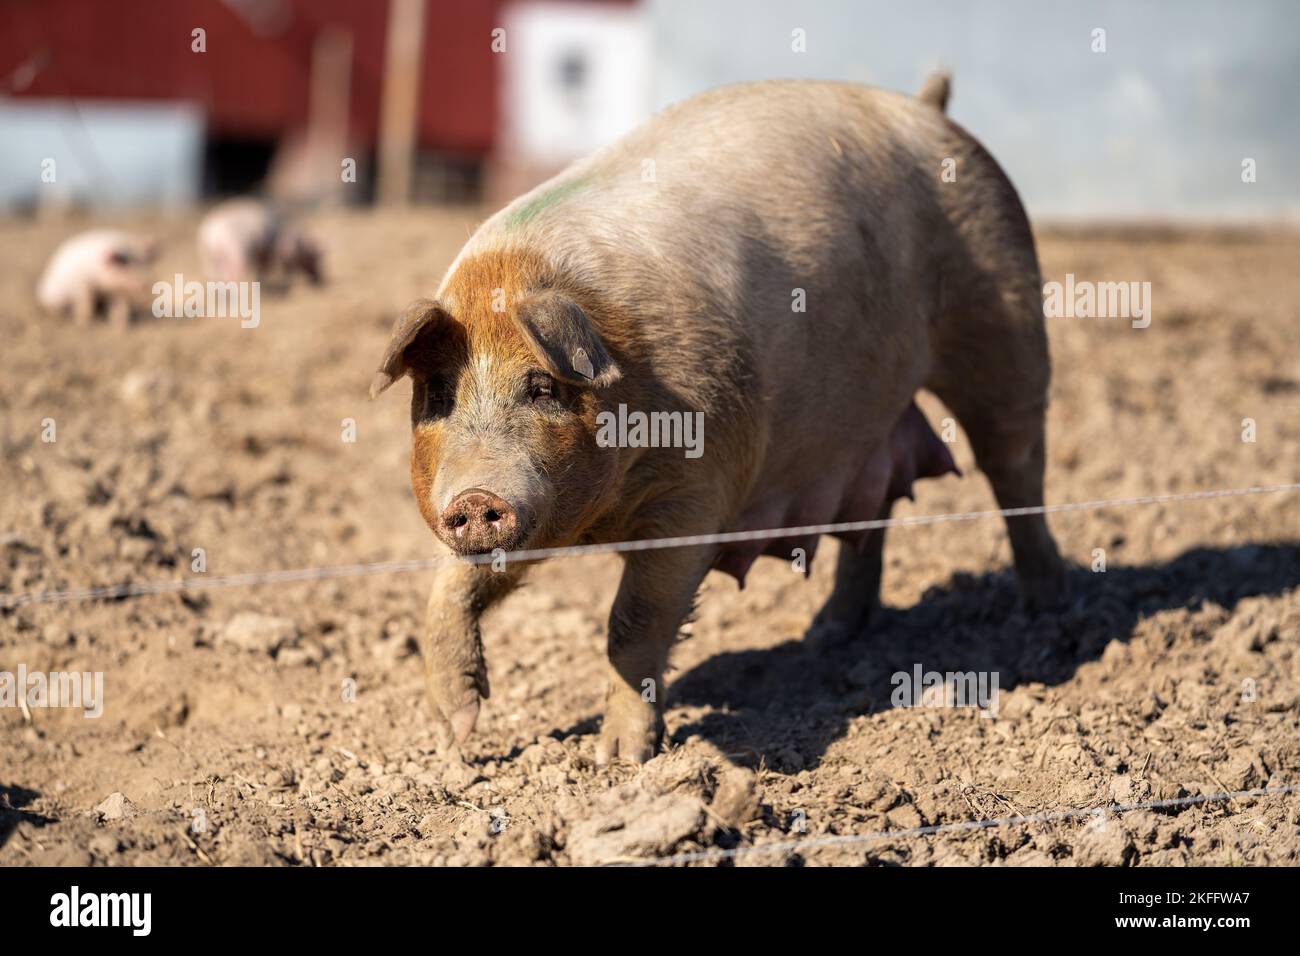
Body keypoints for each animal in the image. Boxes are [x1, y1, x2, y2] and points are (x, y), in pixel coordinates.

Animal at [369, 72, 1066, 764]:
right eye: (438, 396)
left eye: (541, 387)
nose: (476, 497)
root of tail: (928, 107)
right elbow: (449, 589)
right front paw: (456, 739)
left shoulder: (700, 490)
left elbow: (635, 622)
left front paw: (621, 759)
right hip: (868, 416)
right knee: (874, 509)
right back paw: (829, 634)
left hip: (1004, 319)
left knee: (1016, 469)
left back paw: (1047, 611)